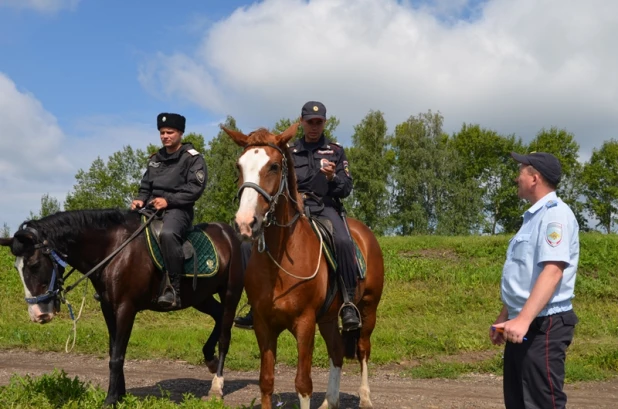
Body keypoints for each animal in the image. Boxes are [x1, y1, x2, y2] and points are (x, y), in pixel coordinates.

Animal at [0, 209, 245, 406]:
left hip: (230, 293)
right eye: (17, 268)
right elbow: (115, 351)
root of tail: (229, 234)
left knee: (225, 335)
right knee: (218, 316)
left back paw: (217, 385)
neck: (114, 249)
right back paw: (210, 359)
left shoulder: (126, 308)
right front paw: (120, 394)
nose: (38, 314)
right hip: (200, 297)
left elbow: (117, 356)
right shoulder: (109, 308)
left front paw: (110, 400)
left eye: (33, 265)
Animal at [221, 122, 384, 406]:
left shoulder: (305, 324)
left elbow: (303, 384)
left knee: (363, 349)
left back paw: (365, 398)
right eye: (238, 166)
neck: (280, 259)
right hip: (328, 318)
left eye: (274, 166)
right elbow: (266, 381)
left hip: (368, 308)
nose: (245, 223)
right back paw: (329, 402)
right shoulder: (263, 325)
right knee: (337, 351)